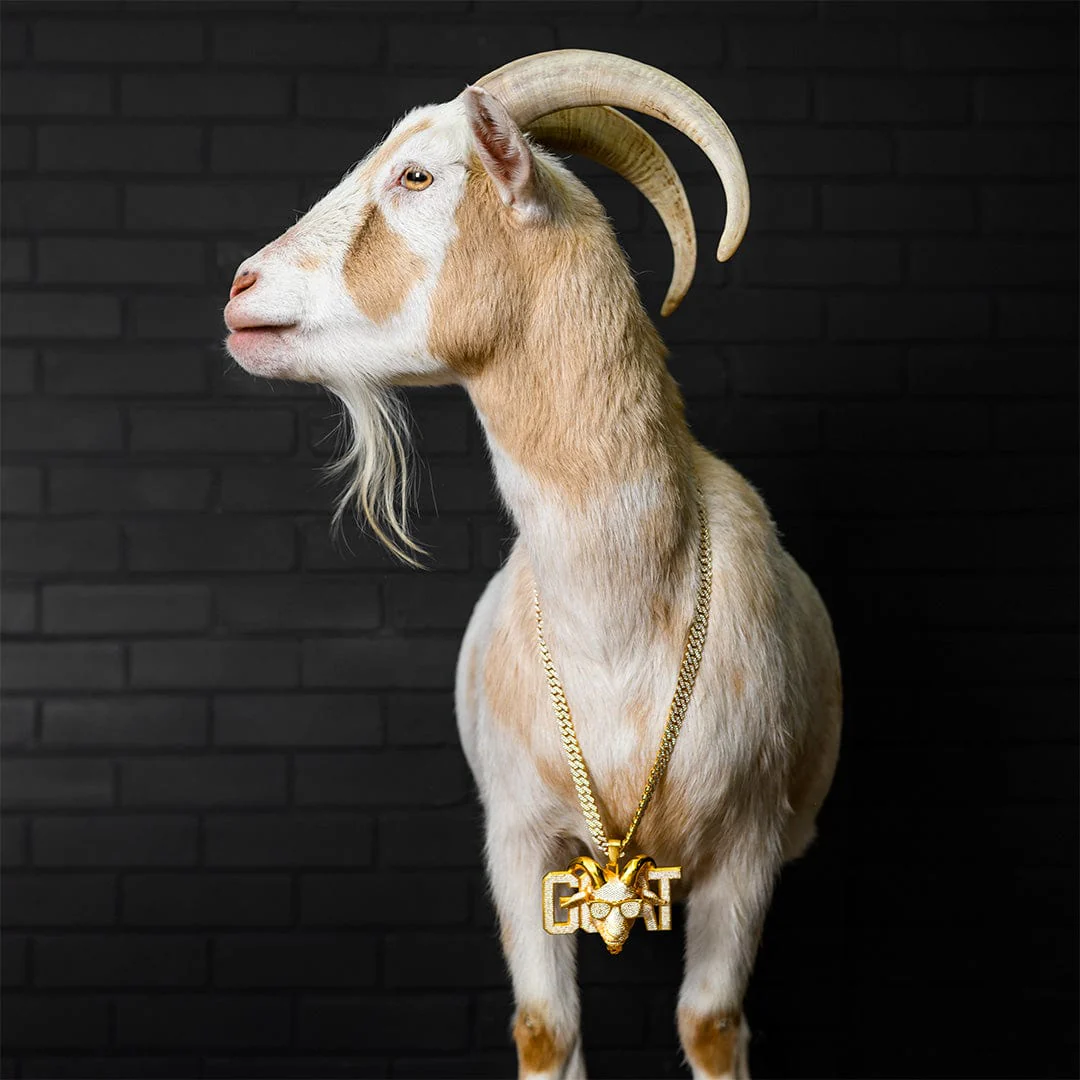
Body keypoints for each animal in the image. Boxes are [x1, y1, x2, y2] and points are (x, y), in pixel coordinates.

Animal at [223, 50, 841, 1080]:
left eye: (417, 176)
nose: (240, 288)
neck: (621, 629)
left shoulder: (747, 850)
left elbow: (712, 1024)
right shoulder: (517, 837)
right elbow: (547, 1026)